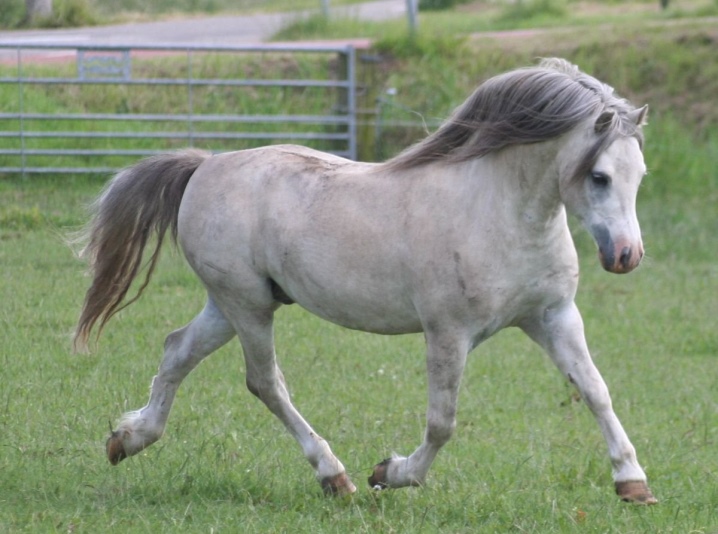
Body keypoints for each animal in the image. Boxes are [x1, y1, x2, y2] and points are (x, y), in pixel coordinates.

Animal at [73, 59, 660, 506]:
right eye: (599, 176)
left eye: (640, 175)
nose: (626, 256)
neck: (500, 212)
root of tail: (205, 165)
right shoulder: (448, 333)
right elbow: (442, 422)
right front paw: (391, 474)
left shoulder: (551, 316)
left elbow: (595, 390)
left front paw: (633, 483)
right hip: (248, 307)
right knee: (266, 383)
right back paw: (334, 475)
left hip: (233, 303)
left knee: (177, 350)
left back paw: (128, 439)